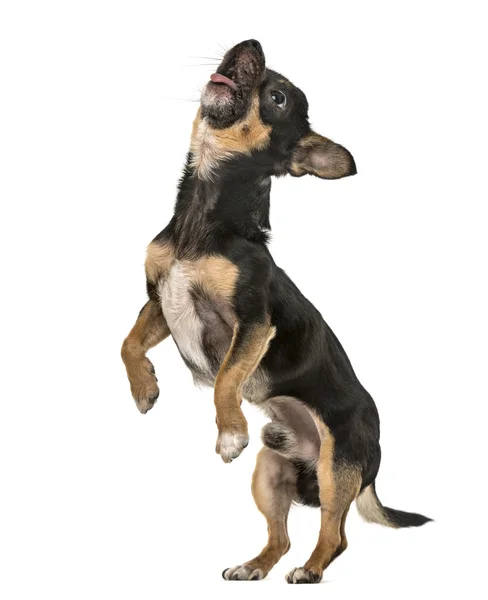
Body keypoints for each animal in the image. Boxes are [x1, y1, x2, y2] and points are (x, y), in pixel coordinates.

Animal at [121, 39, 430, 584]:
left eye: (278, 97)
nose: (250, 45)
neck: (201, 215)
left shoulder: (252, 323)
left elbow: (225, 378)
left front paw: (229, 433)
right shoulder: (159, 300)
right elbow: (126, 343)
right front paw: (145, 388)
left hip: (336, 468)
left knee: (336, 534)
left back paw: (310, 570)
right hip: (271, 471)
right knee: (281, 537)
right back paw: (253, 566)